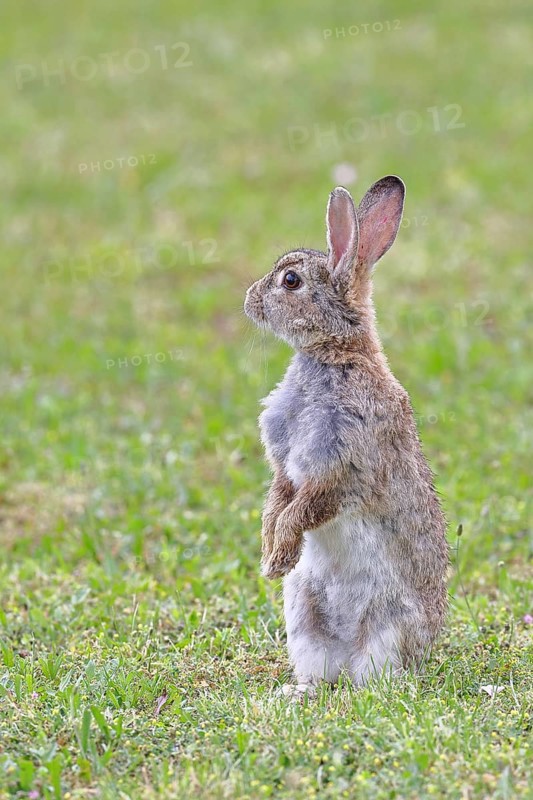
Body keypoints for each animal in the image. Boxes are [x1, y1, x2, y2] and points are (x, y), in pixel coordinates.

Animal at [244, 176, 448, 693]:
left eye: (290, 281)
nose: (249, 299)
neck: (334, 355)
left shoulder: (343, 467)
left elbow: (306, 508)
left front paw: (278, 557)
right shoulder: (287, 466)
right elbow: (279, 500)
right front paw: (269, 555)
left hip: (387, 627)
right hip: (302, 618)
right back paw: (299, 692)